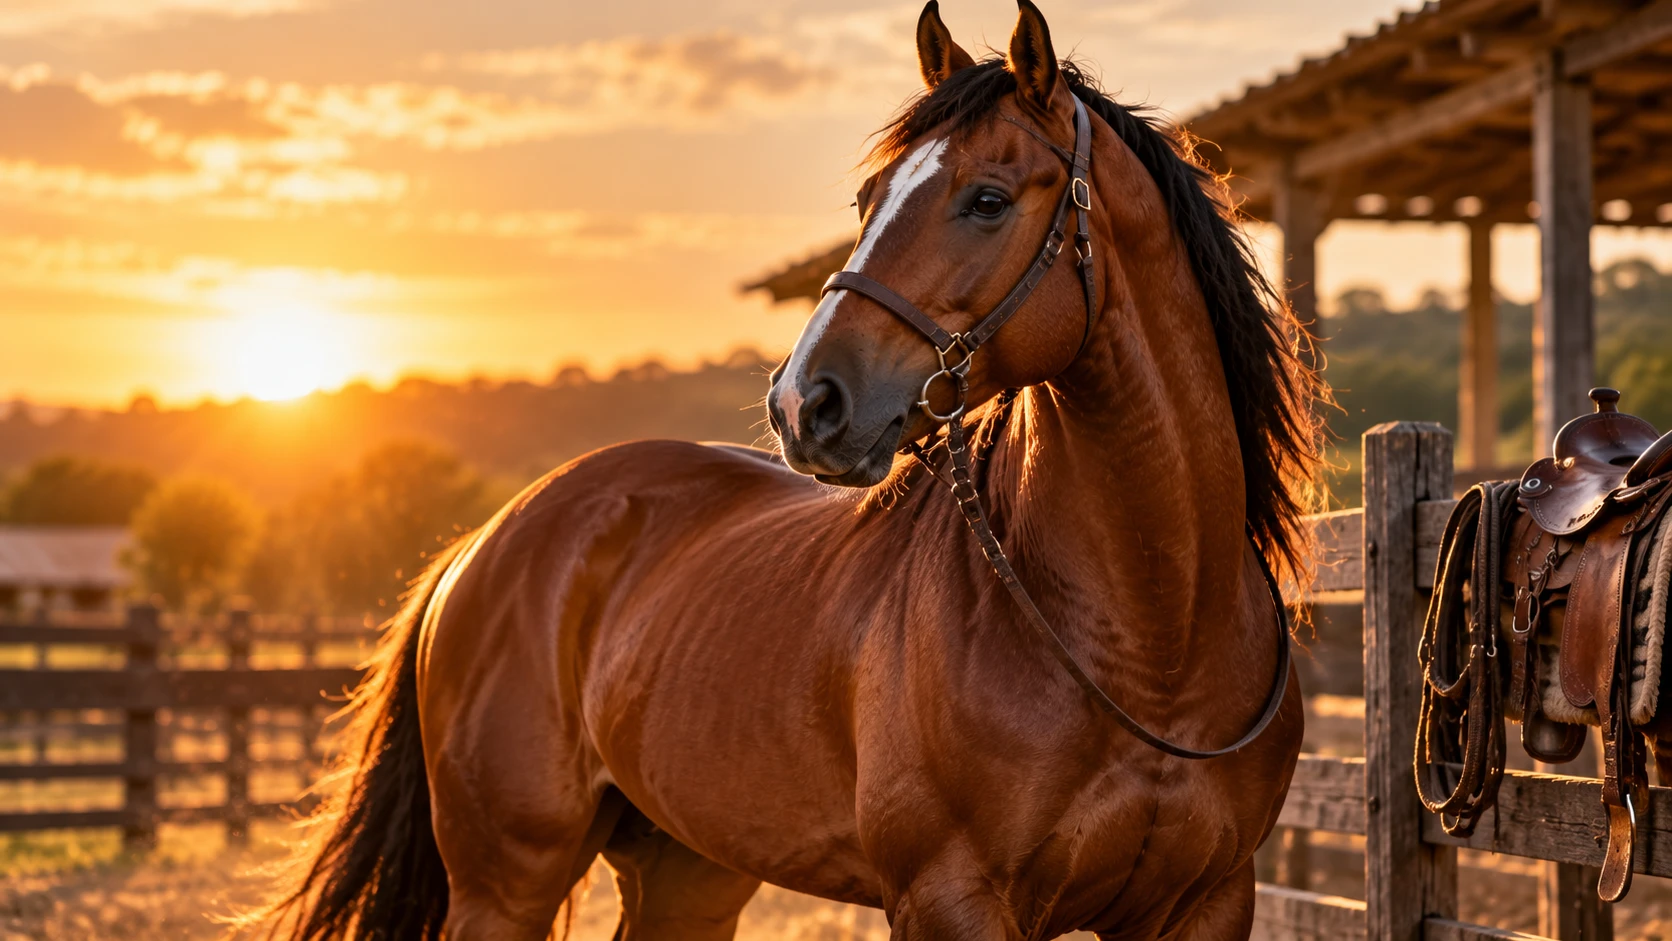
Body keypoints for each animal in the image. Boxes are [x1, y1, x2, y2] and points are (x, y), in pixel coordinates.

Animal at [257, 2, 1323, 938]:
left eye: (986, 199)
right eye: (867, 200)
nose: (805, 402)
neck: (1151, 642)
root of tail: (484, 544)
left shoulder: (1205, 903)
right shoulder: (948, 898)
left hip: (688, 869)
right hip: (507, 880)